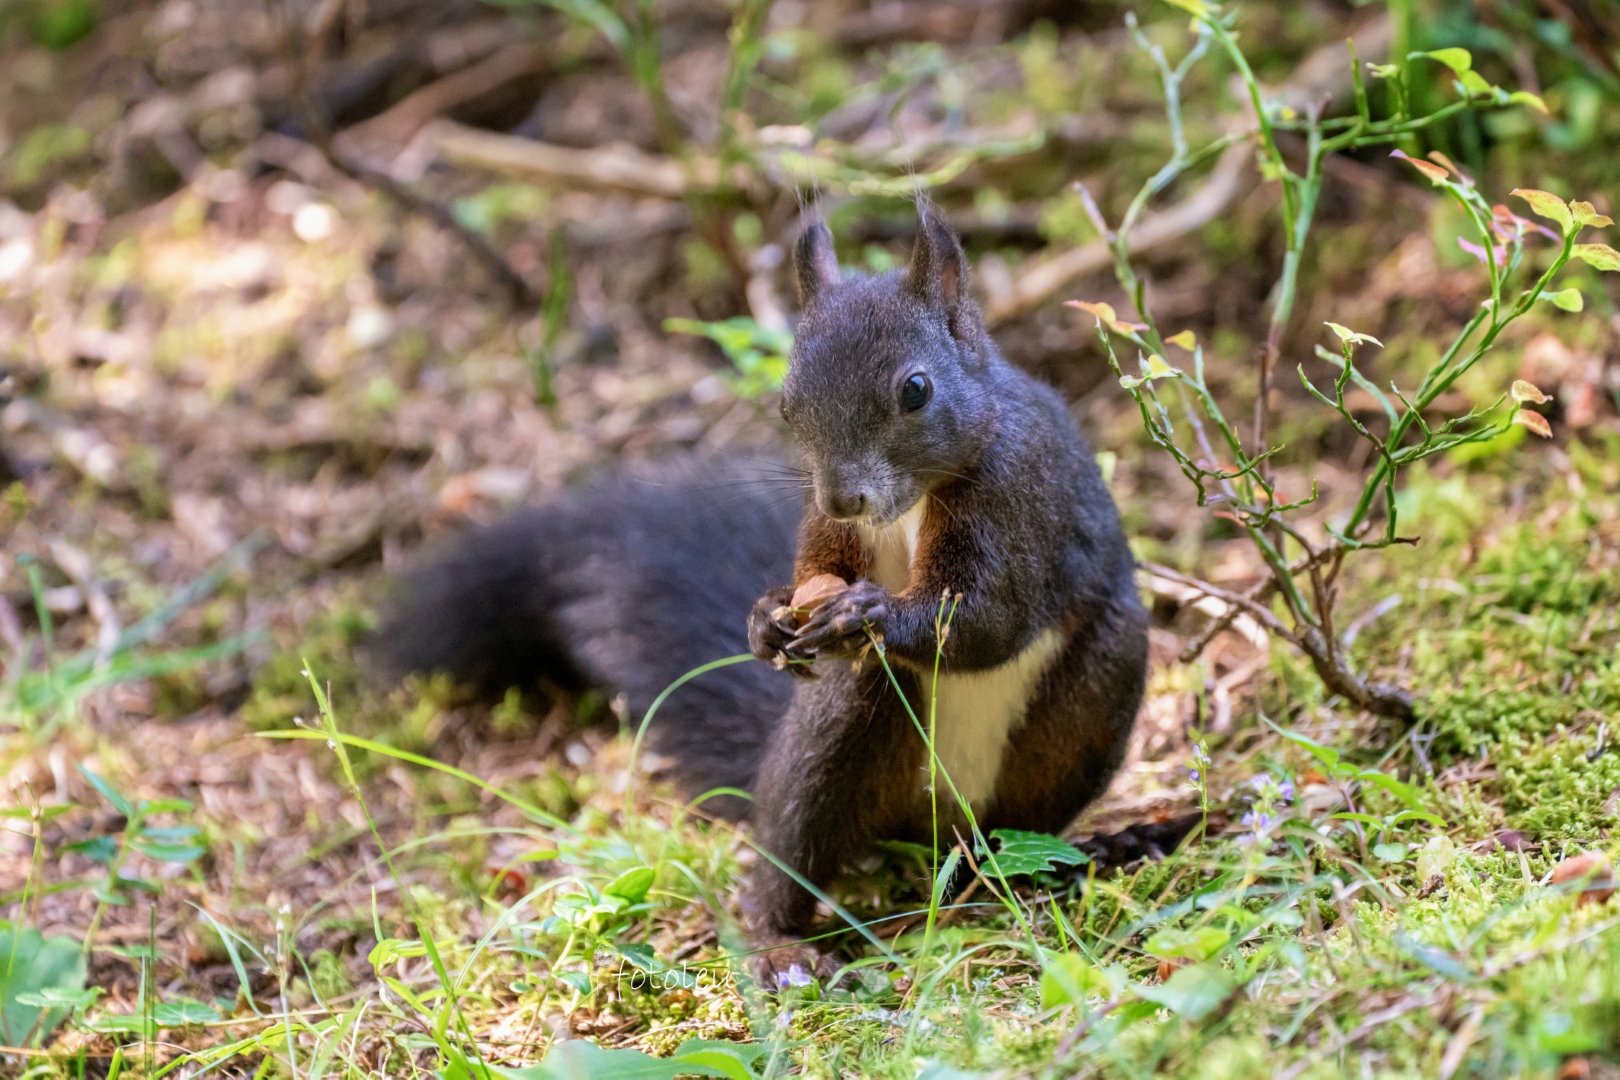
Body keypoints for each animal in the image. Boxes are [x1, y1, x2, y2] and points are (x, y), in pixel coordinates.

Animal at [379, 205, 1148, 988]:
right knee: (800, 831)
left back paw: (1067, 862)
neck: (911, 503)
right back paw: (781, 943)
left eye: (917, 389)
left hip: (1083, 712)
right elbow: (821, 575)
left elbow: (991, 618)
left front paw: (871, 612)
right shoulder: (828, 534)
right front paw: (764, 619)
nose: (842, 497)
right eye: (787, 401)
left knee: (1016, 829)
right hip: (843, 729)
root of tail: (934, 829)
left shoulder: (1020, 497)